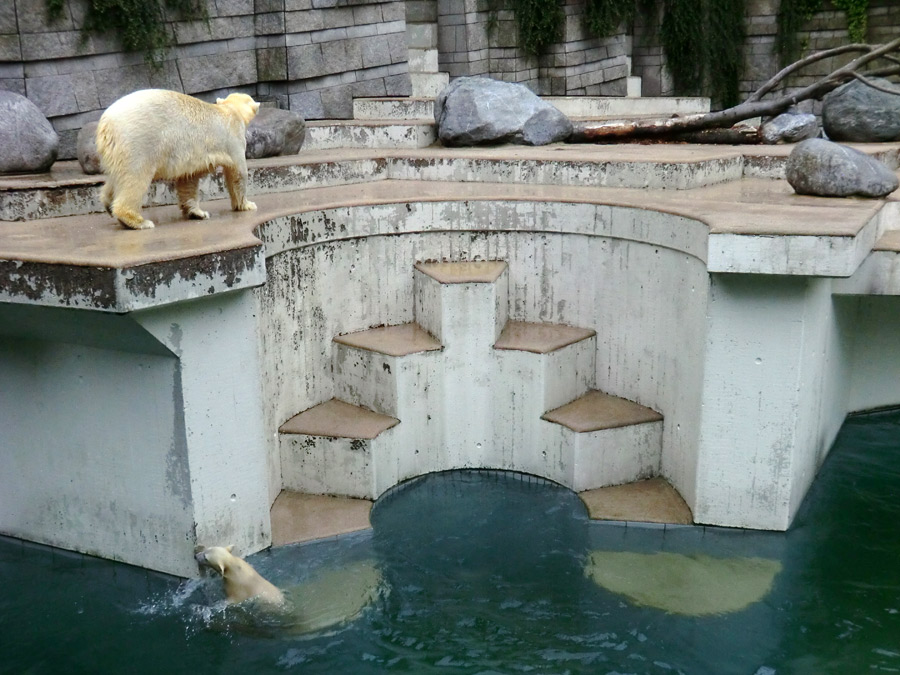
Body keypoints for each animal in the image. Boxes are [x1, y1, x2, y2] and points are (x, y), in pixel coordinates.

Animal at [97, 90, 260, 230]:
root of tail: (106, 122)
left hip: (115, 150)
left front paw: (198, 213)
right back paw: (138, 221)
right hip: (139, 141)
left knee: (116, 178)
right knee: (136, 178)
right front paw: (247, 205)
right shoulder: (234, 139)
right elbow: (238, 173)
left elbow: (188, 180)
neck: (230, 109)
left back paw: (108, 205)